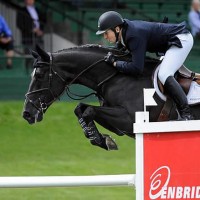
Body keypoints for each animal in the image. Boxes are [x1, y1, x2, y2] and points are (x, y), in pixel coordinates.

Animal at [22, 44, 200, 150]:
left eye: (39, 75)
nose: (27, 114)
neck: (117, 77)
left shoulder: (130, 119)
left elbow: (89, 111)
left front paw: (102, 139)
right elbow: (80, 108)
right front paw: (99, 138)